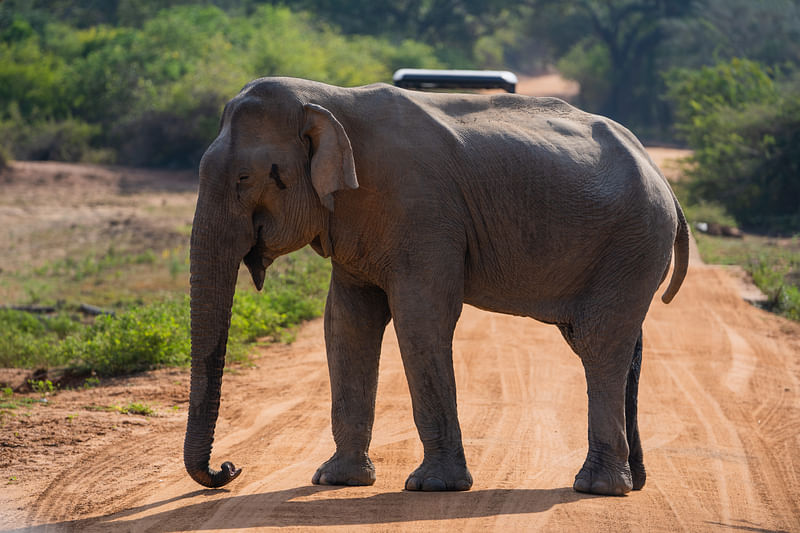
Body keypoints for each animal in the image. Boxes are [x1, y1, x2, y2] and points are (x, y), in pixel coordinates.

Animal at [184, 77, 692, 496]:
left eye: (244, 178)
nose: (229, 469)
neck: (328, 99)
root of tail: (663, 179)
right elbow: (347, 324)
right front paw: (336, 480)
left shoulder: (421, 211)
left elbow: (420, 318)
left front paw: (432, 487)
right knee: (620, 348)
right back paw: (633, 482)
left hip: (633, 242)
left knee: (598, 345)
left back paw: (598, 488)